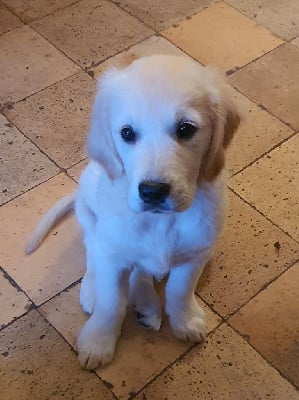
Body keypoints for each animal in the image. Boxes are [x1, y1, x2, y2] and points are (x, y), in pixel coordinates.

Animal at [26, 54, 241, 370]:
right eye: (127, 133)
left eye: (186, 129)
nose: (152, 191)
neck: (161, 221)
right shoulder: (113, 253)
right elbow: (111, 302)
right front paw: (98, 342)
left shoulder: (195, 253)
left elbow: (179, 290)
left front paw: (185, 321)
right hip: (89, 206)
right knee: (93, 249)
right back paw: (95, 290)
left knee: (140, 269)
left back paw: (147, 305)